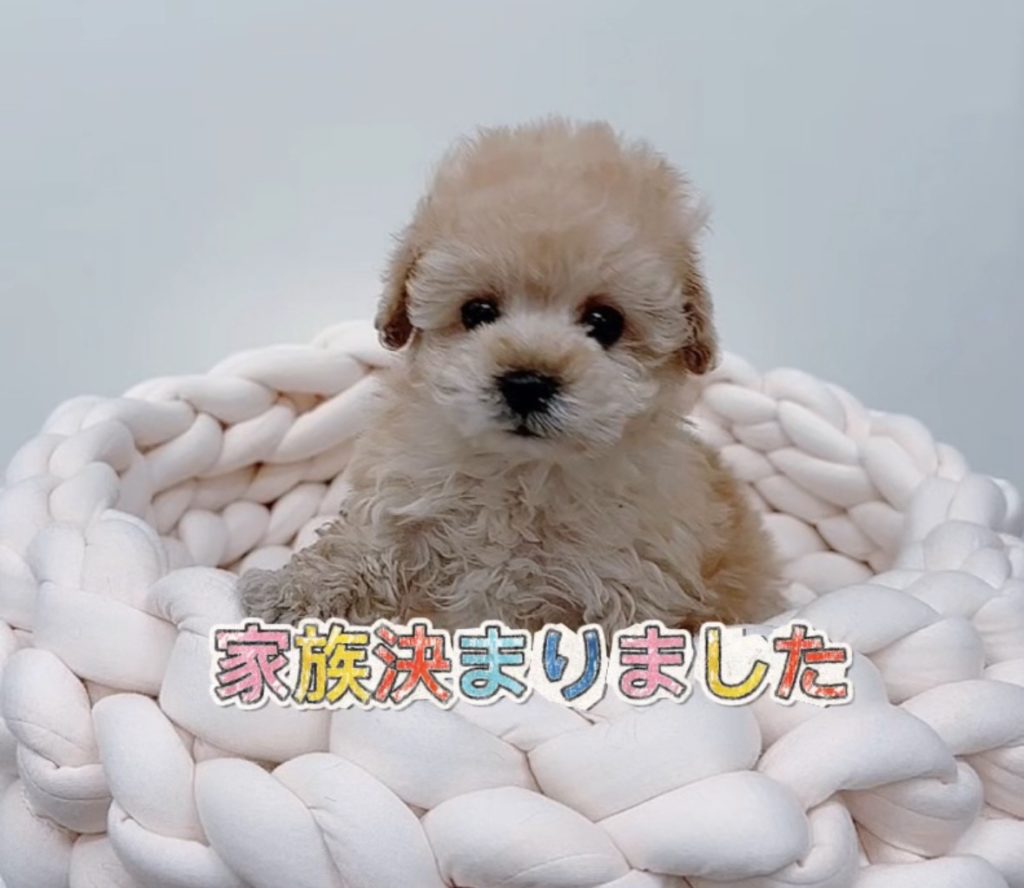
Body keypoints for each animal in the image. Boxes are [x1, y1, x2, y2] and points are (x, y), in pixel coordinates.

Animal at [239, 118, 780, 634]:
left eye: (605, 322)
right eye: (477, 311)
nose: (526, 384)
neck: (520, 474)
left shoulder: (627, 585)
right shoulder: (402, 508)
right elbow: (360, 550)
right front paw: (287, 593)